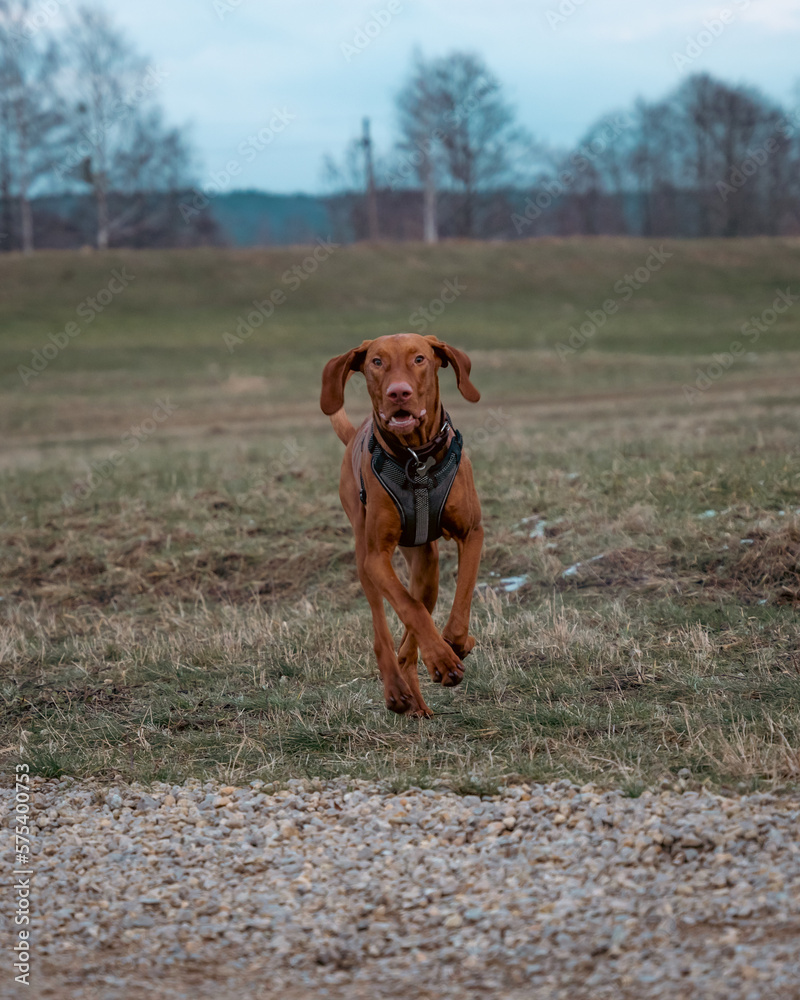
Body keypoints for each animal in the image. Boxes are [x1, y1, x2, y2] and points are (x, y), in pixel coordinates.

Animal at [322, 336, 484, 720]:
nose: (399, 392)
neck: (416, 460)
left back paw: (418, 696)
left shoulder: (472, 533)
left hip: (426, 566)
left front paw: (454, 645)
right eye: (377, 362)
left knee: (412, 626)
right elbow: (409, 609)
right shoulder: (376, 558)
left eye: (419, 359)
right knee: (384, 632)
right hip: (365, 561)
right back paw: (398, 690)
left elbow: (458, 603)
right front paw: (442, 657)